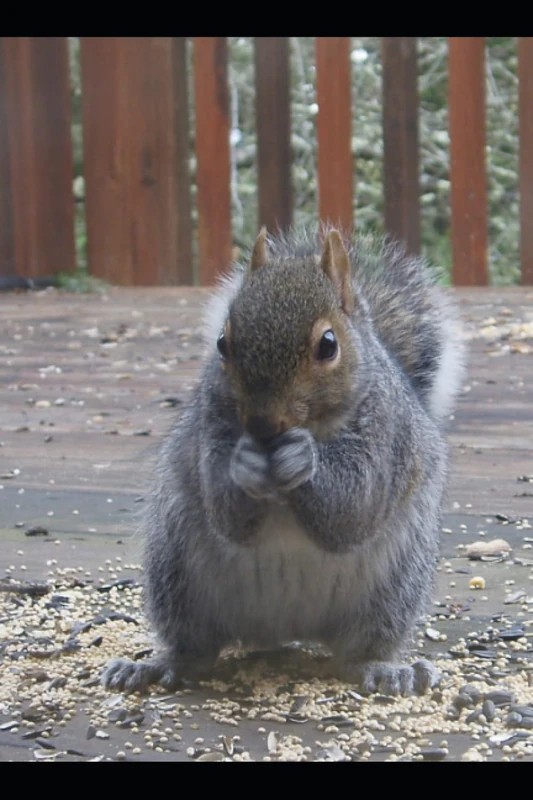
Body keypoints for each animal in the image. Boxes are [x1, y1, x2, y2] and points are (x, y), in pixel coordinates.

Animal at [101, 225, 465, 697]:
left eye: (328, 345)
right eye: (222, 343)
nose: (262, 424)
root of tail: (282, 628)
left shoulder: (387, 438)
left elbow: (353, 510)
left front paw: (301, 458)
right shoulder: (211, 429)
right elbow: (226, 512)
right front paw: (244, 466)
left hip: (393, 591)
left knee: (357, 652)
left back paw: (383, 669)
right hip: (176, 576)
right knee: (195, 648)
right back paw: (155, 666)